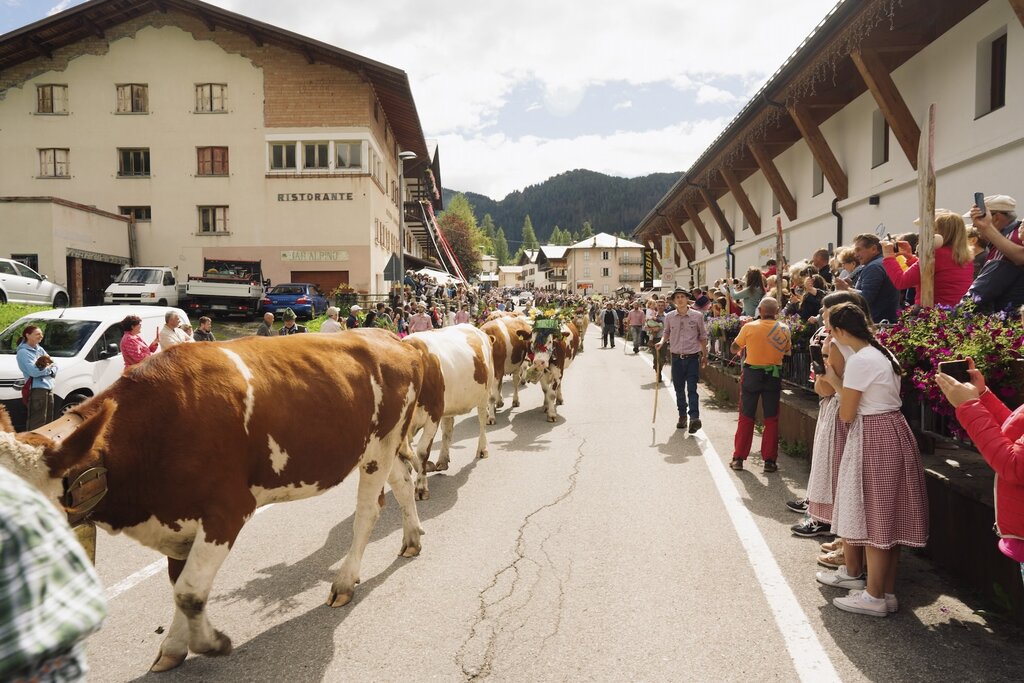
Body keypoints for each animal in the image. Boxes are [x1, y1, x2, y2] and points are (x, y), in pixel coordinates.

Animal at [0, 331, 428, 671]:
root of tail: (390, 337)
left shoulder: (226, 511)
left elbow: (189, 592)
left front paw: (211, 643)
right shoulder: (176, 520)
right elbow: (180, 585)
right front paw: (174, 648)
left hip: (380, 445)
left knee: (368, 511)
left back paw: (344, 581)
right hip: (383, 447)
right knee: (404, 483)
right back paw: (411, 539)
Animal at [401, 323, 493, 499]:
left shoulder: (434, 414)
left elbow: (422, 450)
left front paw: (421, 487)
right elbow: (405, 451)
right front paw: (420, 469)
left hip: (484, 394)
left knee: (482, 423)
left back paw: (482, 449)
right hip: (449, 405)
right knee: (448, 430)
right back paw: (443, 460)